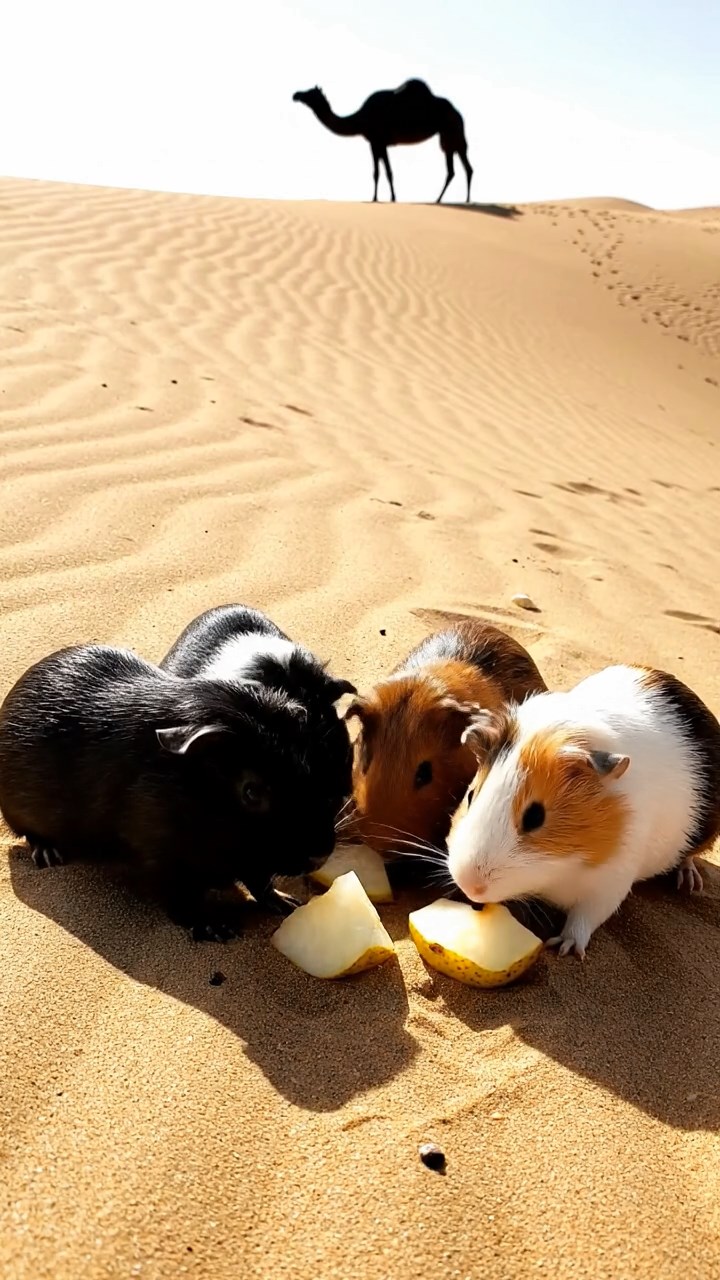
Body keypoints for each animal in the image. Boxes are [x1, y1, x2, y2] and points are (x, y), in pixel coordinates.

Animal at [292, 78, 473, 205]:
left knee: (456, 168)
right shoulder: (380, 143)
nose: (296, 95)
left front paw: (376, 198)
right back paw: (461, 199)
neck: (360, 118)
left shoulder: (375, 141)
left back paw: (444, 200)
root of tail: (458, 113)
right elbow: (386, 171)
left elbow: (379, 172)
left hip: (451, 131)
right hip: (451, 136)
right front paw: (390, 197)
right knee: (462, 168)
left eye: (310, 93)